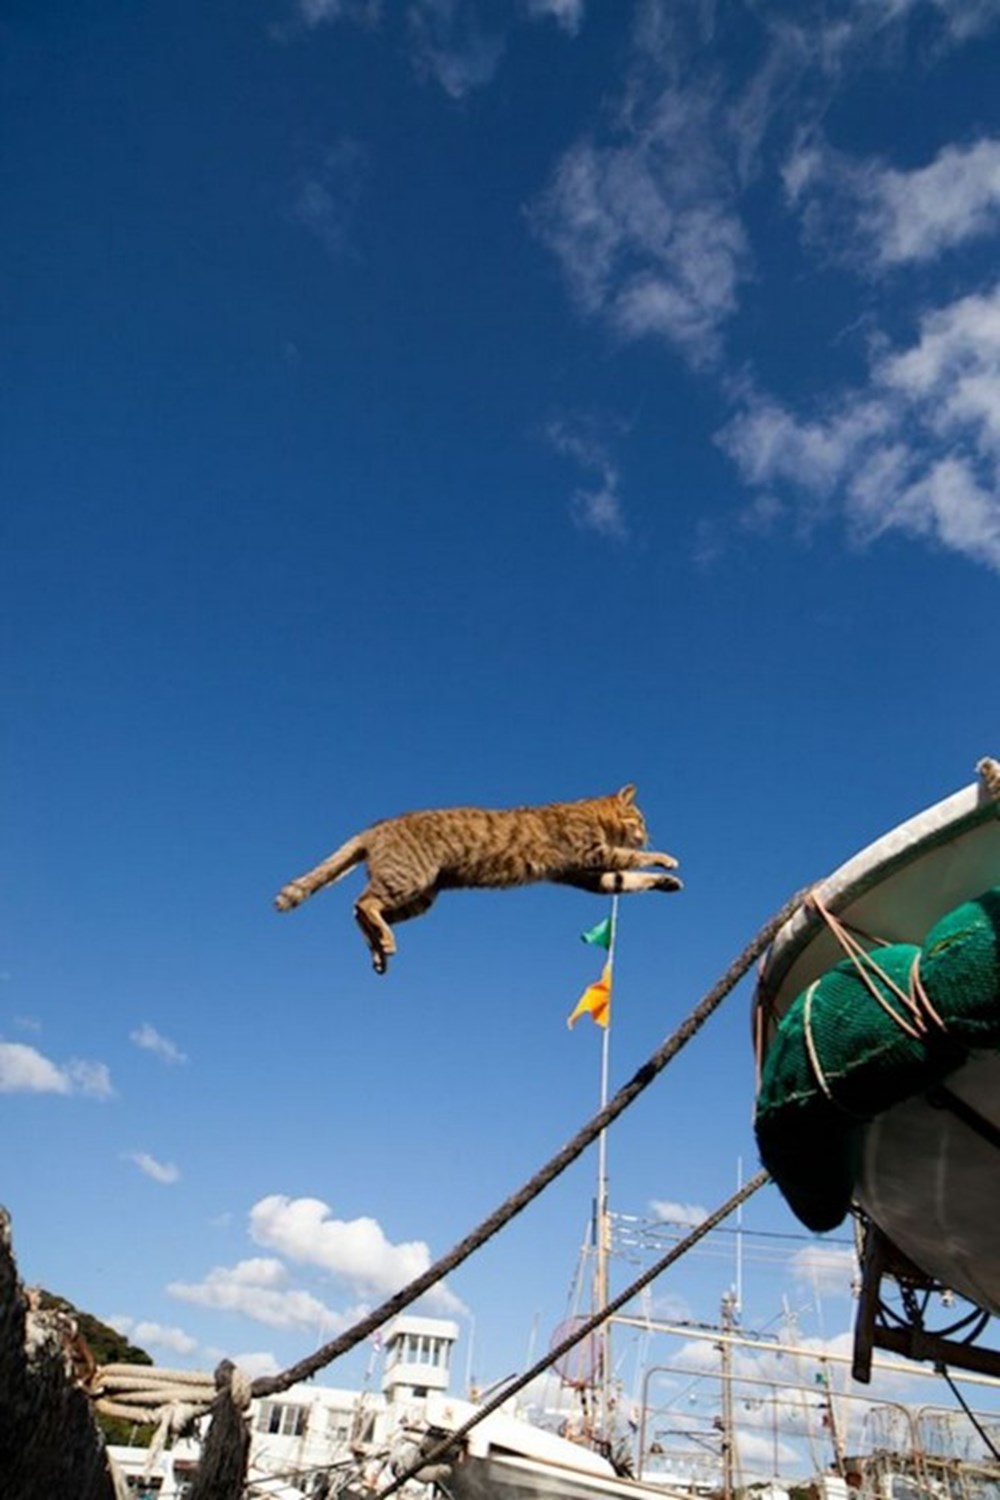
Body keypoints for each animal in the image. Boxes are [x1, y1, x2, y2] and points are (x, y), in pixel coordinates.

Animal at [274, 792, 680, 978]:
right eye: (640, 817)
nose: (646, 830)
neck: (590, 812)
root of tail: (376, 827)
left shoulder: (588, 875)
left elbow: (626, 878)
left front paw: (665, 880)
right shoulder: (592, 853)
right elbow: (631, 858)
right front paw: (664, 858)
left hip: (422, 896)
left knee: (359, 913)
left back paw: (378, 949)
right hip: (410, 878)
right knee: (363, 903)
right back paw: (383, 940)